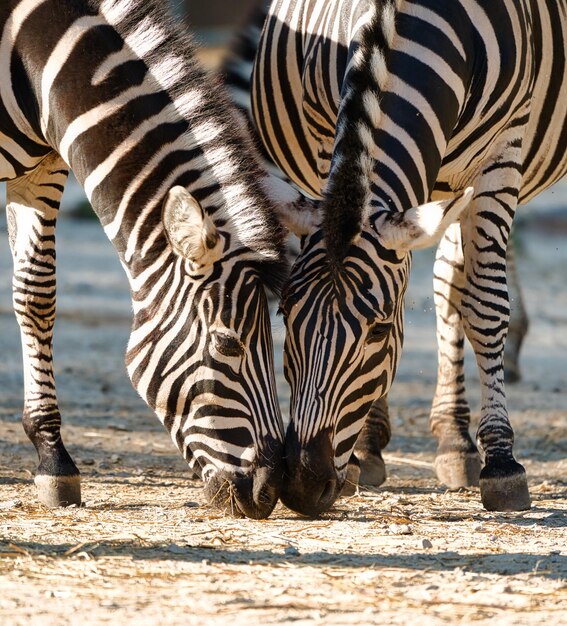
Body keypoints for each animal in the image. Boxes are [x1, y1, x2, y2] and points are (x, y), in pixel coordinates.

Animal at [253, 0, 567, 512]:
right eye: (284, 315)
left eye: (379, 331)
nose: (301, 484)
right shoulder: (327, 137)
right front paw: (361, 452)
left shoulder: (502, 153)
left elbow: (485, 304)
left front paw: (502, 462)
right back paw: (386, 445)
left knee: (451, 284)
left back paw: (457, 440)